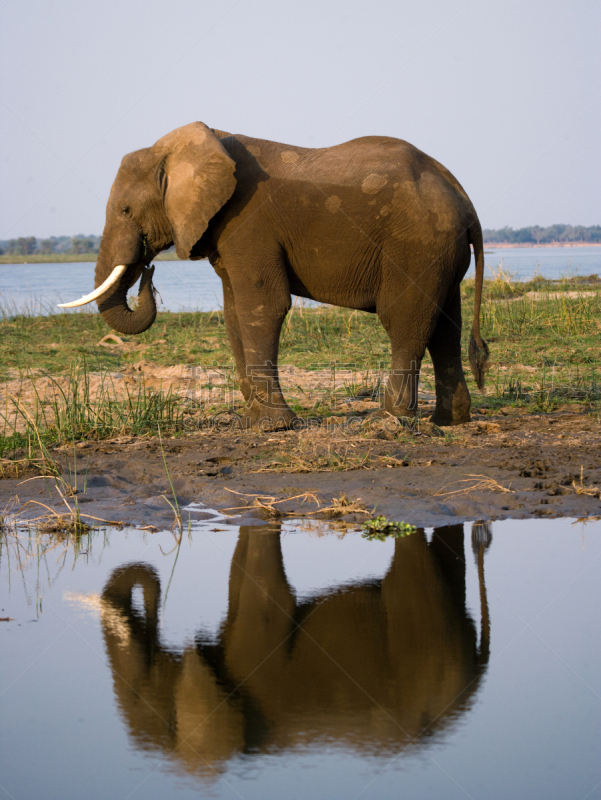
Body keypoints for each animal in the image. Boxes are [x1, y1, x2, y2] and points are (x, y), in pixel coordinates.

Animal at [62, 121, 488, 428]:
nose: (149, 271)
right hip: (438, 250)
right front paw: (252, 422)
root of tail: (465, 198)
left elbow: (262, 306)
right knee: (445, 325)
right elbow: (234, 310)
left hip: (416, 243)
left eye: (126, 210)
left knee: (403, 318)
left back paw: (388, 423)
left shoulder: (248, 220)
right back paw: (450, 420)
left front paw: (273, 426)